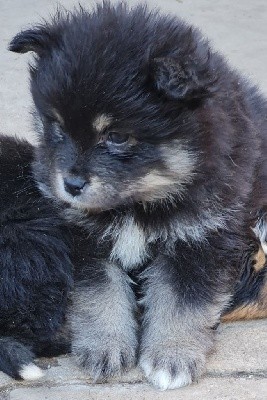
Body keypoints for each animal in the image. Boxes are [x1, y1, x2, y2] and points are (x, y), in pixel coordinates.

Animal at [8, 2, 267, 390]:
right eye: (57, 126)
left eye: (116, 136)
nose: (70, 185)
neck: (138, 203)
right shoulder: (83, 238)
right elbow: (100, 292)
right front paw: (105, 346)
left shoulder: (203, 238)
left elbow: (181, 302)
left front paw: (172, 356)